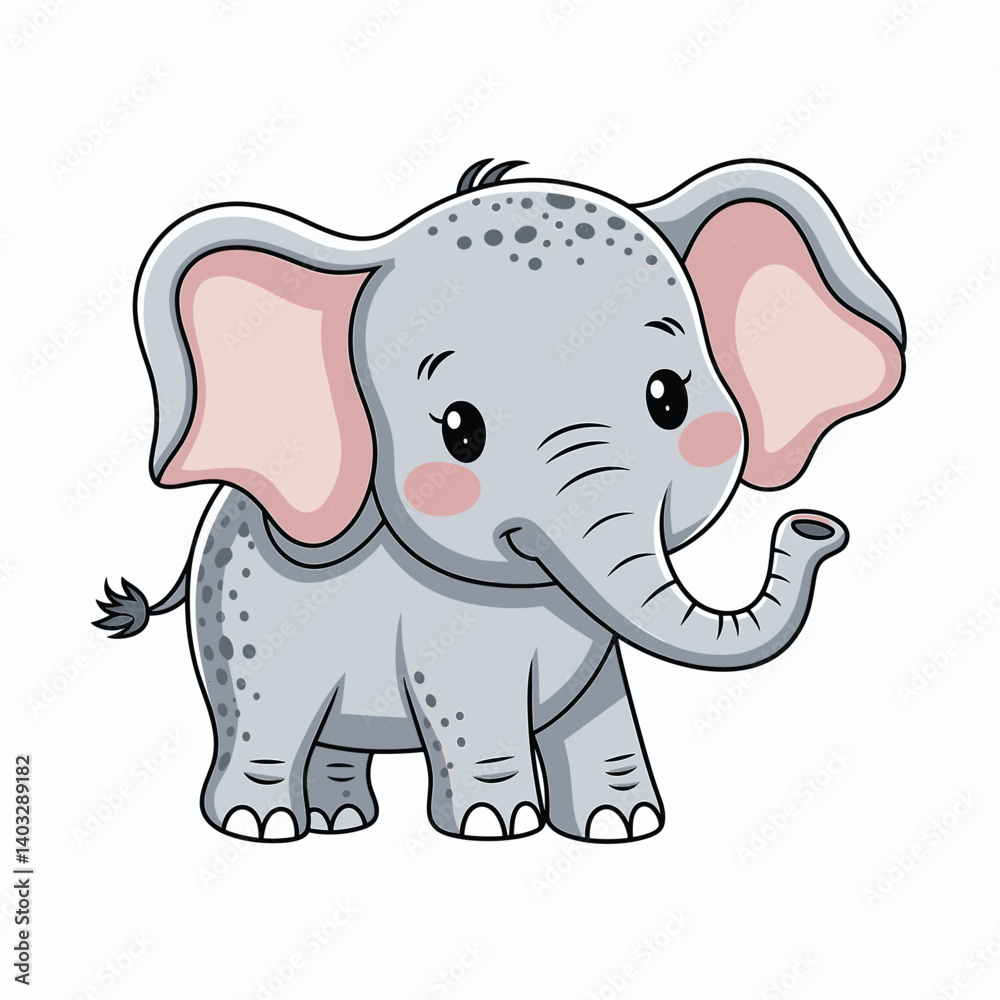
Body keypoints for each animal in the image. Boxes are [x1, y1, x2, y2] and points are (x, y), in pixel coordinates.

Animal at [94, 158, 904, 843]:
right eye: (461, 431)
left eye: (669, 399)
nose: (815, 528)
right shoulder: (443, 634)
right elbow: (473, 702)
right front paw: (498, 827)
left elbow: (599, 706)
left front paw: (623, 826)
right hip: (244, 630)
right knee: (268, 717)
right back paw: (260, 826)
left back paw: (341, 820)